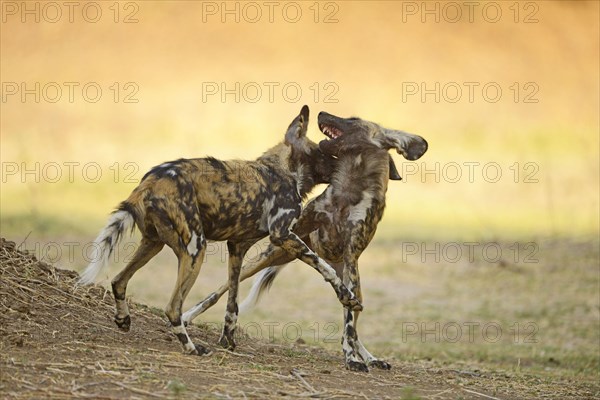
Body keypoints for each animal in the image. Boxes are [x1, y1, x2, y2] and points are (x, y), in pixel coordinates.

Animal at [78, 105, 360, 354]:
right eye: (326, 154)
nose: (345, 167)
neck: (285, 171)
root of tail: (150, 182)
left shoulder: (237, 248)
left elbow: (231, 302)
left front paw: (228, 341)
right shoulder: (283, 235)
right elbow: (324, 267)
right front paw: (347, 295)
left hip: (153, 244)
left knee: (119, 280)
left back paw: (123, 320)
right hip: (195, 249)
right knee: (172, 307)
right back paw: (192, 349)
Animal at [183, 111, 426, 370]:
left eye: (353, 119)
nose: (321, 113)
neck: (349, 188)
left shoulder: (350, 256)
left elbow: (349, 324)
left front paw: (352, 358)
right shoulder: (292, 230)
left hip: (353, 282)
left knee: (351, 318)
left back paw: (368, 357)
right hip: (264, 259)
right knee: (221, 290)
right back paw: (187, 316)